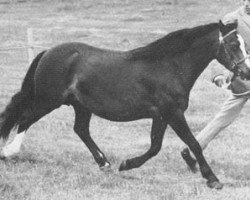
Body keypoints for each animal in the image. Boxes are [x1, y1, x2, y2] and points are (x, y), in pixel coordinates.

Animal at [0, 21, 250, 189]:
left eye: (243, 44)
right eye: (232, 44)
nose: (246, 72)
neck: (169, 67)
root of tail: (48, 52)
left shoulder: (161, 116)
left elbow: (155, 147)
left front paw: (127, 164)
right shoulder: (173, 113)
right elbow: (194, 143)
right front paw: (213, 179)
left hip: (81, 106)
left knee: (80, 130)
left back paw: (105, 164)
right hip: (47, 100)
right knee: (25, 119)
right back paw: (8, 152)